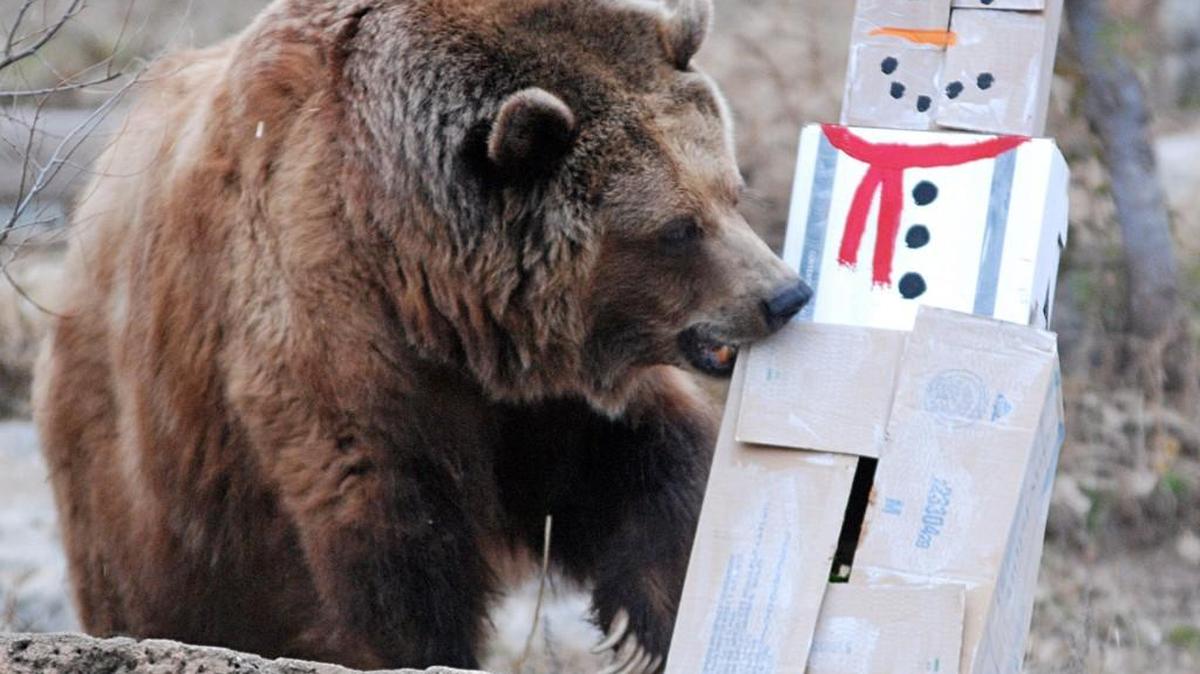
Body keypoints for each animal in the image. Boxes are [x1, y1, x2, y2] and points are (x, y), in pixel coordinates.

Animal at [33, 0, 810, 670]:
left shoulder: (543, 393)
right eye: (676, 229)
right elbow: (389, 528)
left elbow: (647, 475)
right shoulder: (327, 314)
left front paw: (675, 614)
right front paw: (427, 646)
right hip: (145, 480)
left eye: (732, 191)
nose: (784, 295)